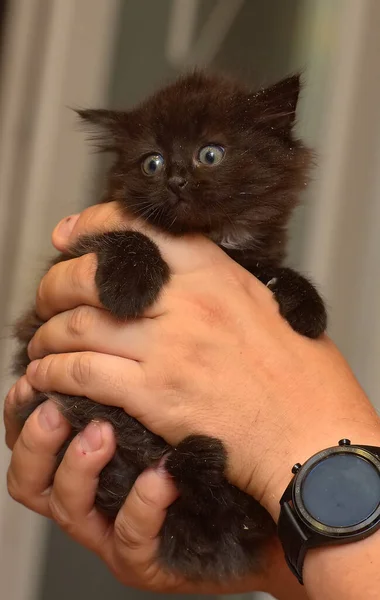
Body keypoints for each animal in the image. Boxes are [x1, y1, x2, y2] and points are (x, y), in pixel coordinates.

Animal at [11, 71, 326, 580]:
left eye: (210, 154)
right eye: (152, 163)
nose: (176, 179)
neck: (212, 239)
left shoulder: (256, 259)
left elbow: (273, 271)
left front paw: (307, 306)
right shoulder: (62, 271)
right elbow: (128, 234)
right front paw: (127, 285)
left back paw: (199, 462)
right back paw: (196, 459)